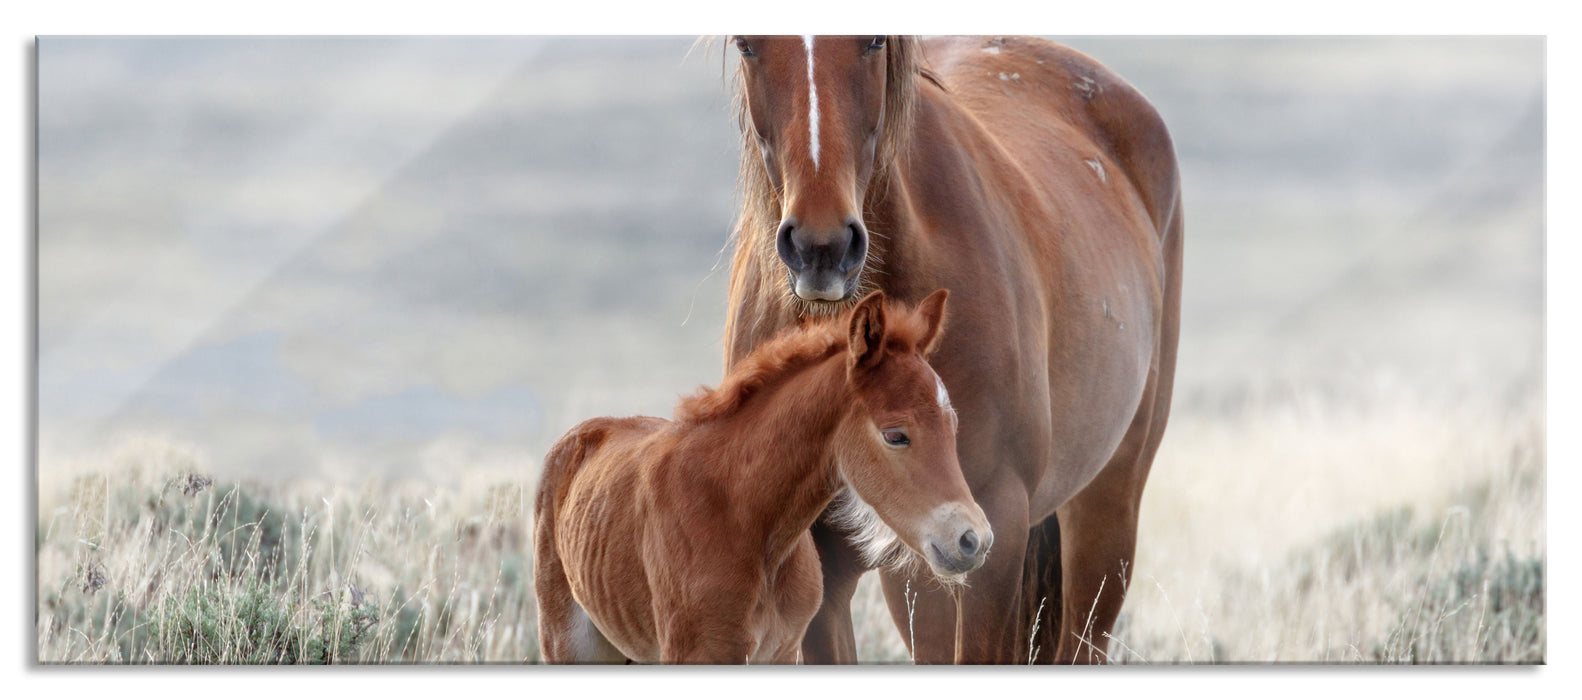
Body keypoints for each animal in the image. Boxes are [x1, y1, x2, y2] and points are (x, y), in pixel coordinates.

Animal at [534, 289, 987, 661]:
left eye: (952, 425)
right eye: (896, 435)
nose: (974, 540)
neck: (744, 516)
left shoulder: (783, 651)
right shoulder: (700, 653)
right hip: (570, 644)